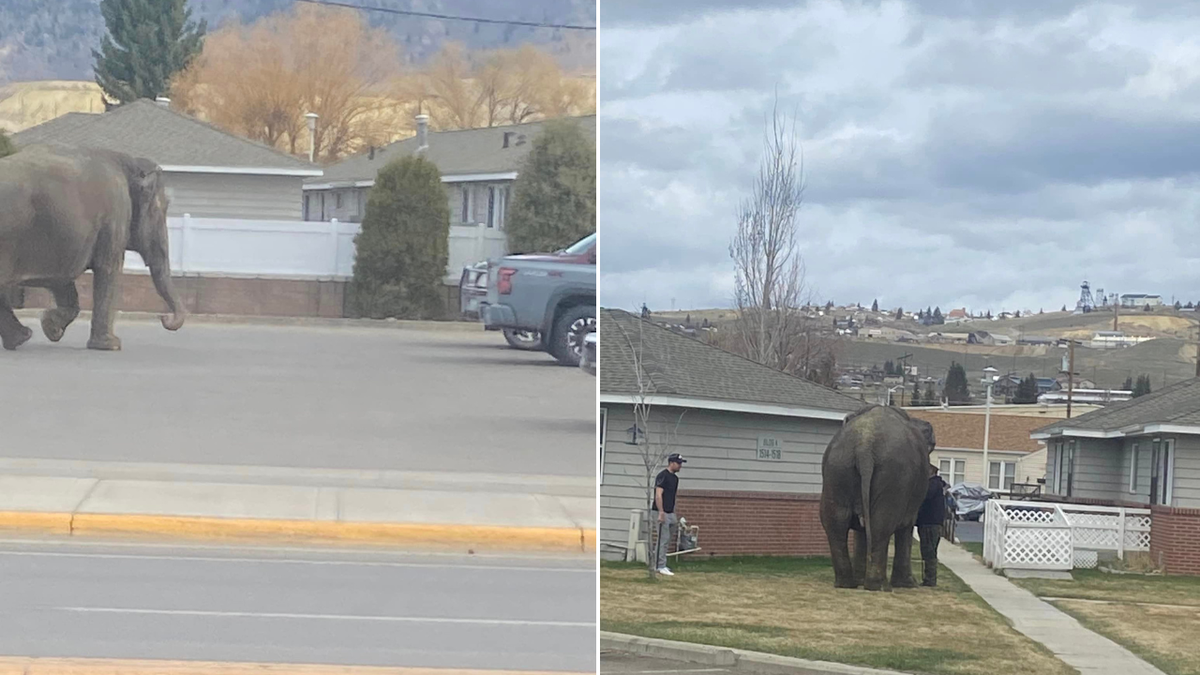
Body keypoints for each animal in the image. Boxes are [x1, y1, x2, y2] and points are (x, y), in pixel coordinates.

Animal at [0, 144, 184, 348]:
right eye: (159, 209)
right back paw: (22, 337)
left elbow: (62, 280)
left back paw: (19, 338)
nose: (163, 317)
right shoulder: (115, 214)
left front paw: (50, 327)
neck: (129, 161)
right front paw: (111, 345)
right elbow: (109, 269)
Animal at [825, 403, 936, 588]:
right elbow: (907, 526)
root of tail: (864, 445)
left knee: (836, 523)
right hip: (893, 475)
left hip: (837, 468)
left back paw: (847, 583)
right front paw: (908, 584)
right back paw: (879, 586)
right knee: (881, 524)